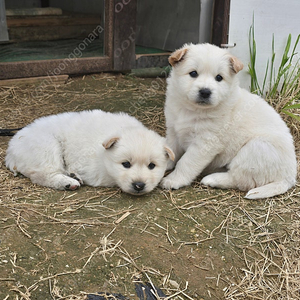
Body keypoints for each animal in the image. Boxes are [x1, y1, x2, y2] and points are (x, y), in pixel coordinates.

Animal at [5, 110, 175, 195]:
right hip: (47, 146)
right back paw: (68, 182)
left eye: (152, 166)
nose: (139, 185)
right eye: (126, 164)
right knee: (42, 175)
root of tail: (11, 148)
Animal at [161, 42, 296, 199]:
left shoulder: (205, 143)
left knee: (240, 179)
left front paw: (173, 179)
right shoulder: (173, 130)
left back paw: (213, 179)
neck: (193, 110)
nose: (205, 92)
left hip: (256, 148)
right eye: (193, 73)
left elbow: (186, 162)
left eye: (219, 78)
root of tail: (289, 177)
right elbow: (169, 149)